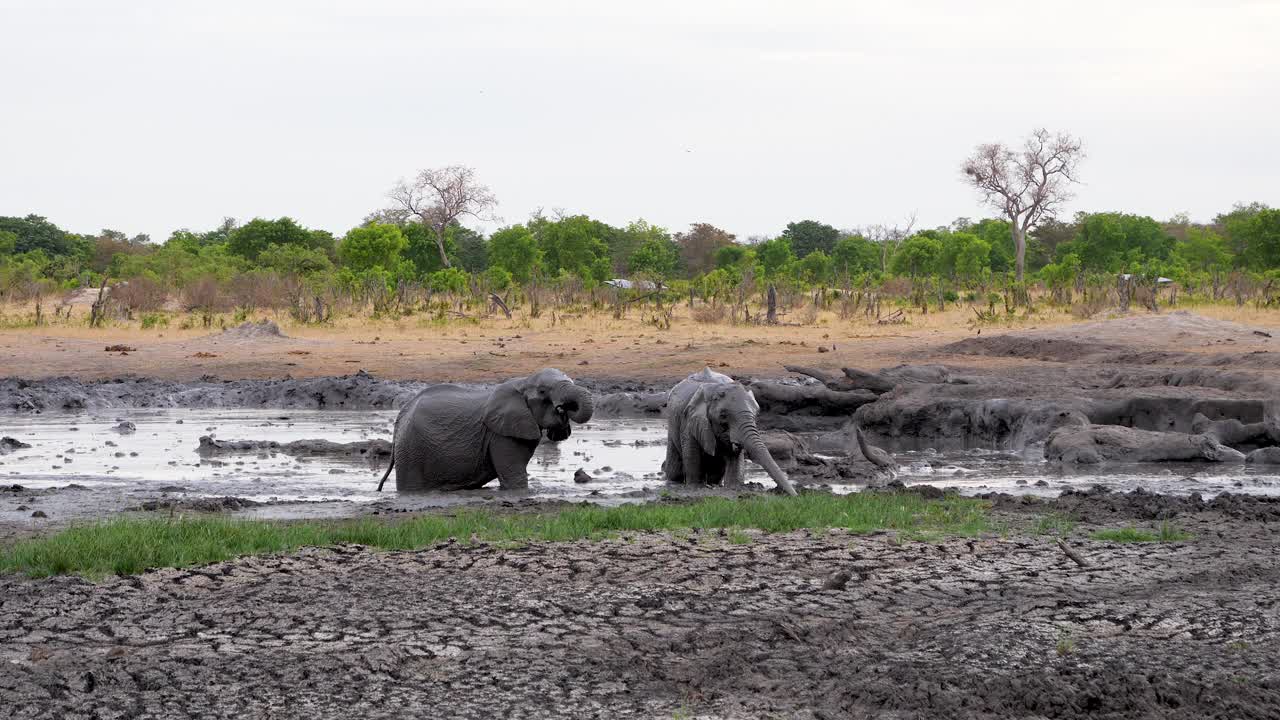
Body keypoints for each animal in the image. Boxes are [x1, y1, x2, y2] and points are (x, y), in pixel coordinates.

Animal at [373, 366, 593, 489]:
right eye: (542, 391)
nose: (562, 407)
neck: (523, 381)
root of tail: (401, 417)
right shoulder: (500, 434)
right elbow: (514, 476)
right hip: (411, 450)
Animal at [665, 363, 793, 491]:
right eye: (723, 416)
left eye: (756, 414)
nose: (794, 494)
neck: (716, 388)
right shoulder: (689, 422)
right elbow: (692, 457)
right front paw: (695, 487)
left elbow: (734, 460)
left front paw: (733, 486)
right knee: (675, 468)